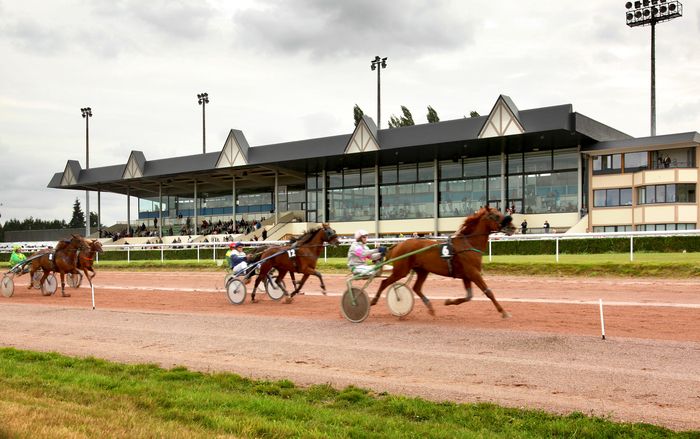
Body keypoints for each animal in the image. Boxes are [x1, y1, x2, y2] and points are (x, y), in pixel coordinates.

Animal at [372, 208, 516, 318]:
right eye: (496, 215)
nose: (513, 227)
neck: (468, 244)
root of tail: (398, 245)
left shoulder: (466, 276)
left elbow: (469, 296)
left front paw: (449, 301)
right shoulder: (473, 273)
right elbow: (488, 292)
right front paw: (504, 312)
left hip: (422, 270)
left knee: (416, 288)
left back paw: (430, 308)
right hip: (401, 270)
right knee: (384, 282)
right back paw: (374, 300)